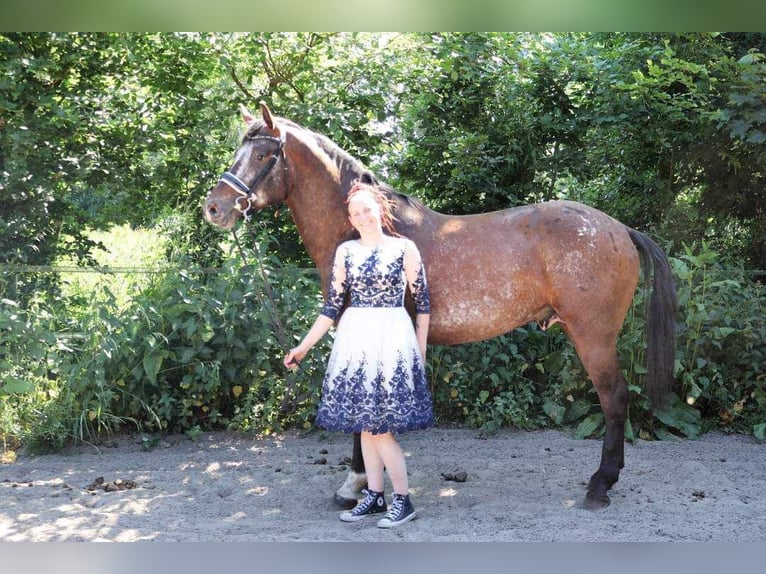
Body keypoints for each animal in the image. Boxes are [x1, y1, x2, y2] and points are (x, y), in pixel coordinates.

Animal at [204, 101, 680, 510]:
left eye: (263, 154)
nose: (214, 208)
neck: (369, 231)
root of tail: (619, 228)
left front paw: (356, 483)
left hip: (593, 337)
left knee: (614, 398)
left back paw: (601, 484)